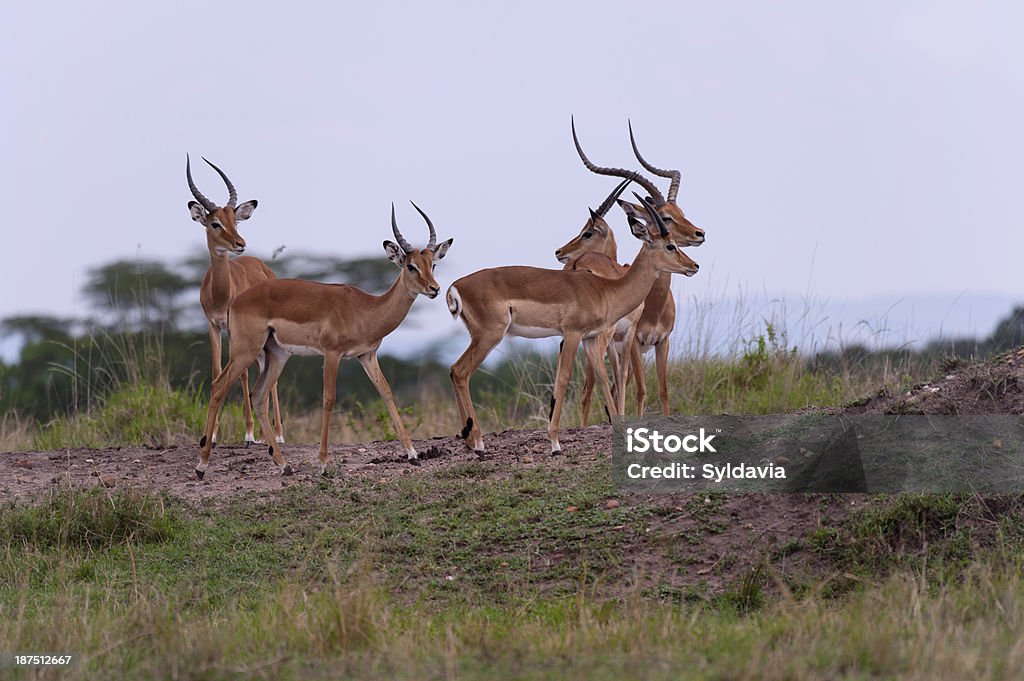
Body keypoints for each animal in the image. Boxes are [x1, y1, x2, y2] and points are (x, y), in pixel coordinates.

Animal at [187, 156, 284, 448]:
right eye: (215, 223)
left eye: (236, 221)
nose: (240, 243)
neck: (220, 294)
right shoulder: (213, 325)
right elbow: (217, 370)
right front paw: (212, 435)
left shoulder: (232, 328)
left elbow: (241, 374)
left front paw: (249, 434)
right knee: (264, 369)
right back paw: (266, 434)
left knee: (267, 376)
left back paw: (276, 435)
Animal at [195, 202, 452, 477]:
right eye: (411, 266)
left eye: (432, 264)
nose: (434, 289)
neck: (366, 309)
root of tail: (236, 301)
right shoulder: (332, 354)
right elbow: (329, 399)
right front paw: (324, 462)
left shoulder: (367, 355)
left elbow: (386, 392)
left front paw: (413, 454)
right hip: (245, 351)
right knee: (218, 386)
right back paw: (202, 465)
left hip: (277, 355)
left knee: (259, 396)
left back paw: (284, 465)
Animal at [446, 191, 696, 454]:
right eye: (670, 245)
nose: (694, 266)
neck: (605, 289)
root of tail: (456, 286)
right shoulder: (574, 334)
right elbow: (564, 378)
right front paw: (555, 443)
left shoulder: (590, 338)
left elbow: (602, 377)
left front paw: (618, 428)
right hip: (489, 336)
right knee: (461, 372)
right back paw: (479, 442)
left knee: (454, 370)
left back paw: (468, 439)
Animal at [573, 122, 708, 417]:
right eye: (665, 217)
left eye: (681, 211)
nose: (700, 233)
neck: (654, 303)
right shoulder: (634, 341)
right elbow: (641, 389)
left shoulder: (662, 342)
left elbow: (663, 390)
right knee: (589, 388)